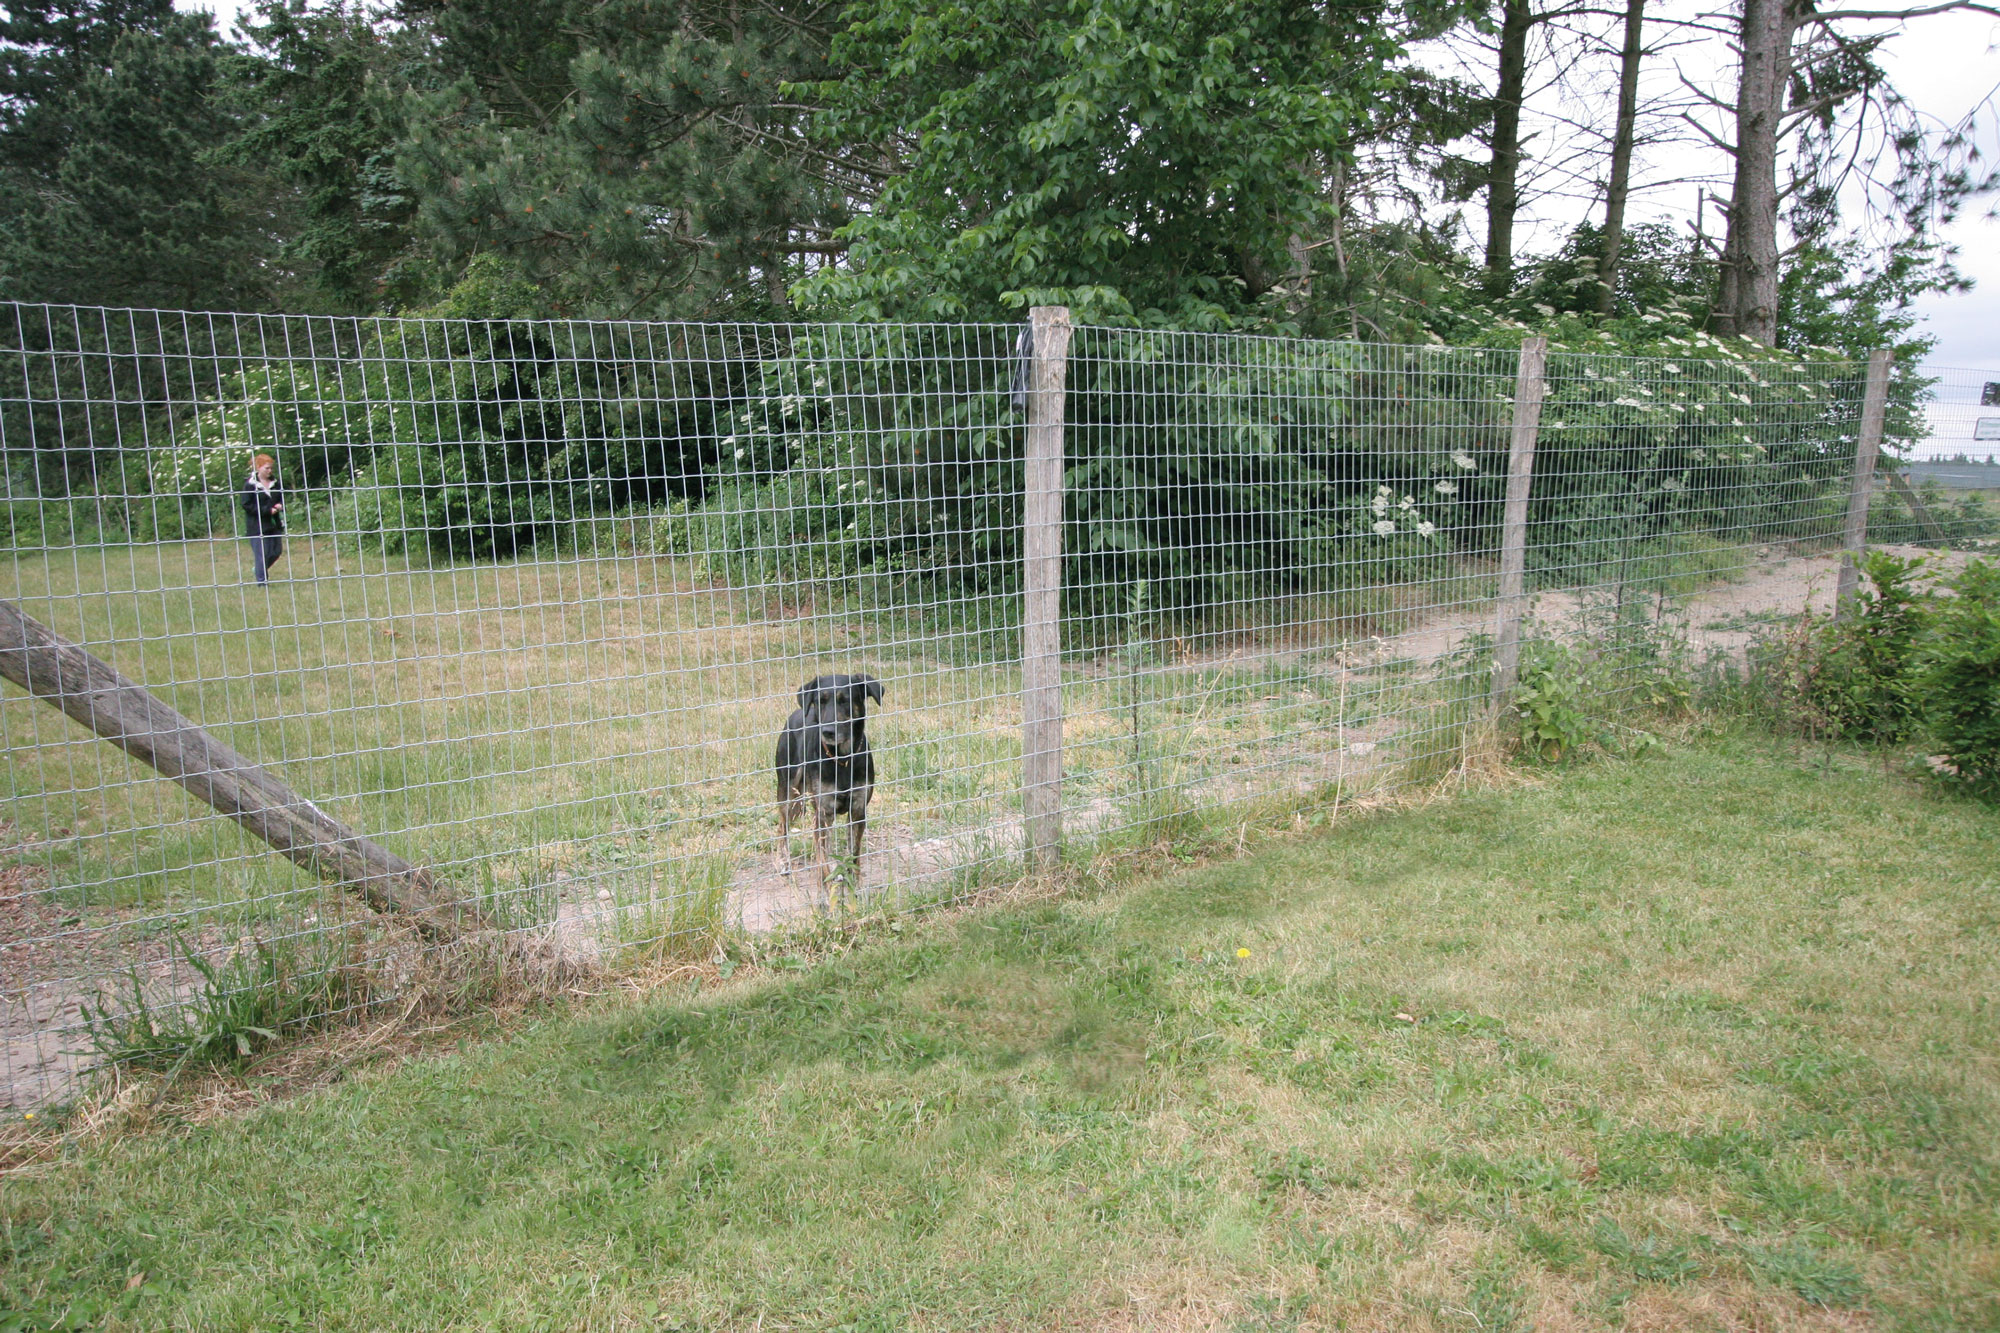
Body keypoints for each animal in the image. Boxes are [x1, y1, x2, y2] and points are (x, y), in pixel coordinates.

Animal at [772, 676, 884, 904]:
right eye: (819, 701)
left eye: (845, 700)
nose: (828, 732)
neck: (842, 759)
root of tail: (796, 713)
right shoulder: (822, 812)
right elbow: (821, 862)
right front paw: (824, 899)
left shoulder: (857, 811)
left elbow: (853, 856)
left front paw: (856, 892)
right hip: (791, 797)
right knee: (782, 828)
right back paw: (784, 863)